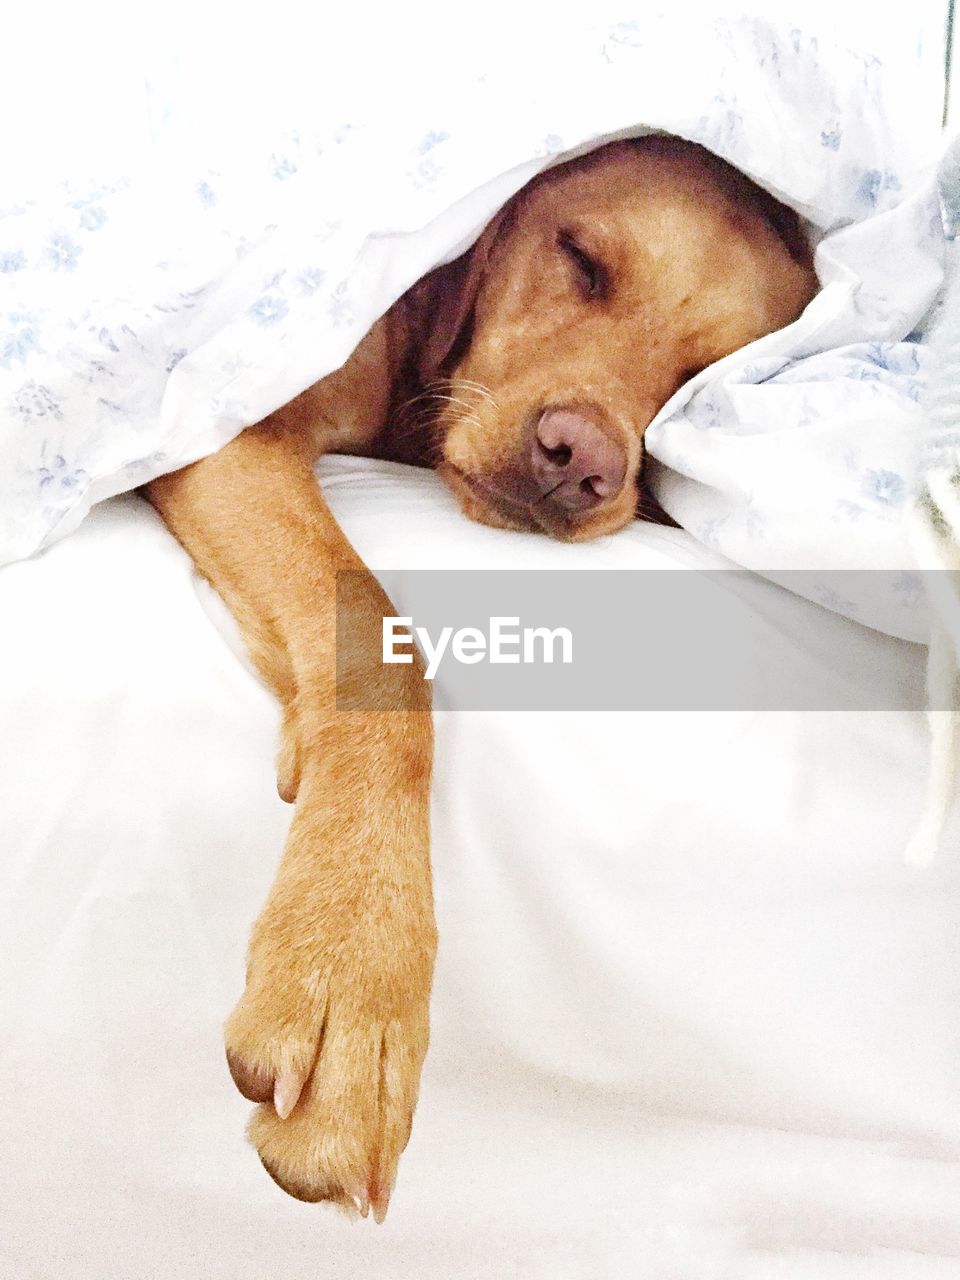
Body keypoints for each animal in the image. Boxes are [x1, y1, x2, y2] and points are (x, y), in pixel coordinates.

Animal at [144, 132, 819, 1218]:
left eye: (702, 381)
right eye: (581, 260)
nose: (580, 461)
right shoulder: (226, 428)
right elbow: (380, 647)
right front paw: (352, 966)